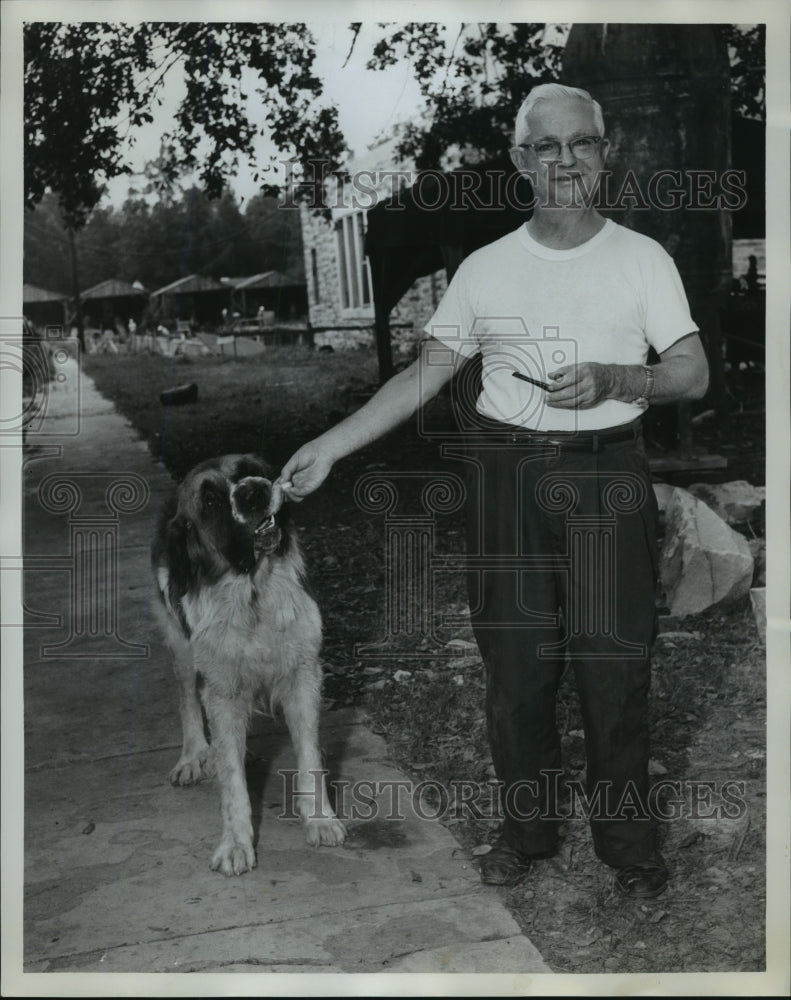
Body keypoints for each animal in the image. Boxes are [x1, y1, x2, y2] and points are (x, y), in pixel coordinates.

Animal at [152, 454, 346, 876]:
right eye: (210, 500)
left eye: (250, 469)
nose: (253, 491)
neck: (253, 590)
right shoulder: (222, 689)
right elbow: (232, 780)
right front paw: (236, 844)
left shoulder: (303, 675)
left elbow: (310, 756)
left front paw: (319, 820)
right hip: (182, 648)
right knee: (188, 699)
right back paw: (193, 755)